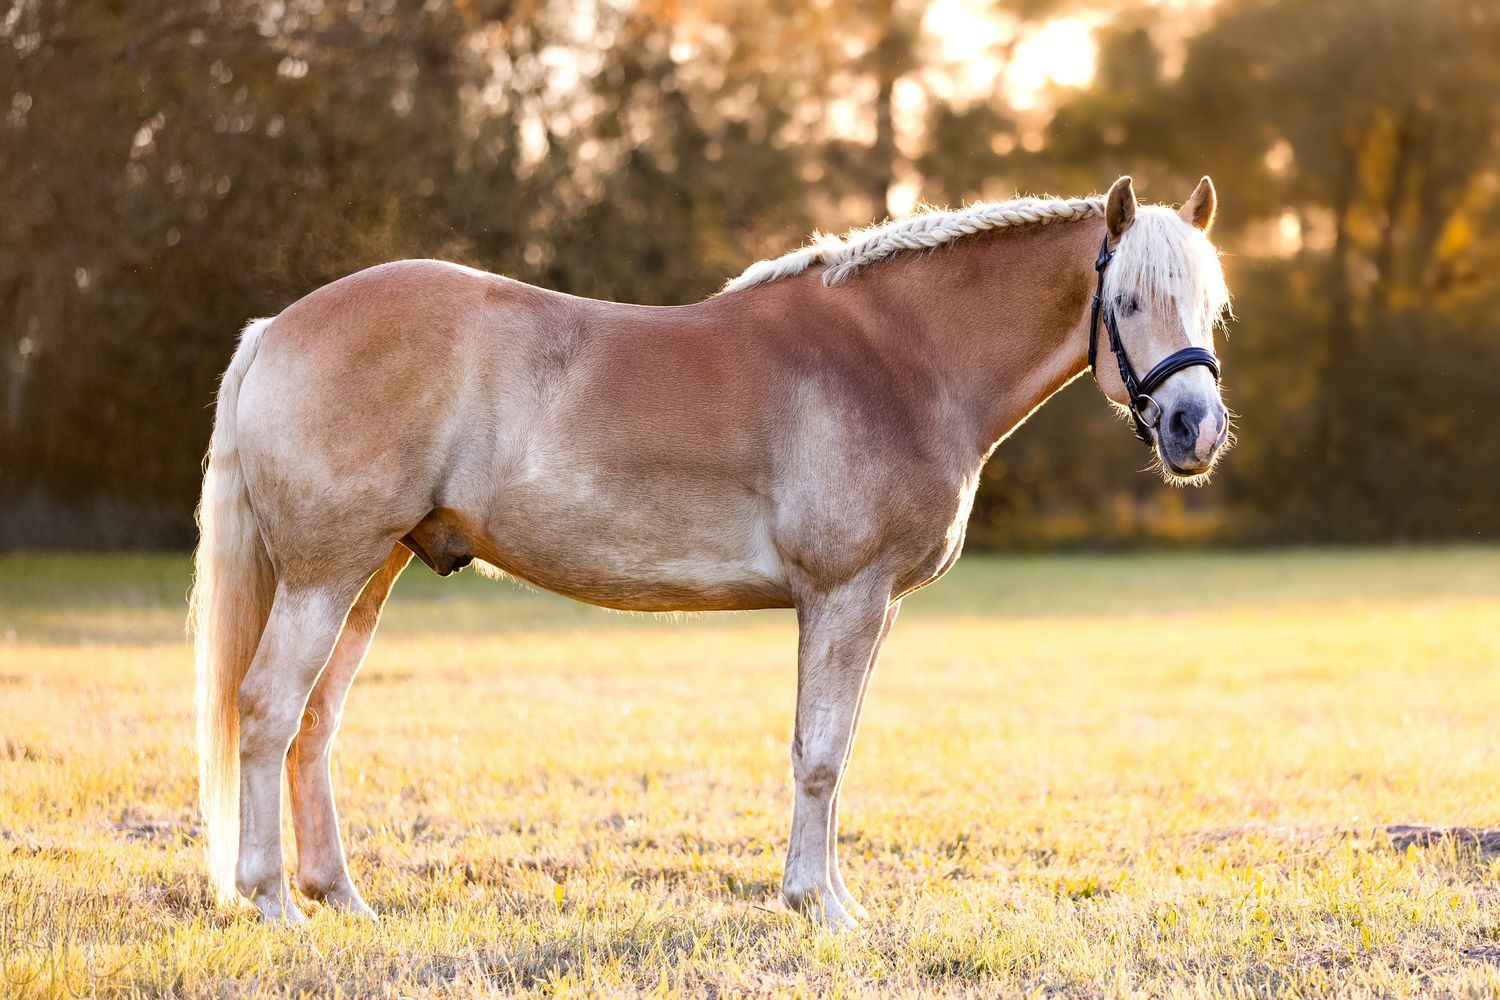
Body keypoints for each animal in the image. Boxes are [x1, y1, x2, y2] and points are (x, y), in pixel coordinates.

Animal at [190, 175, 1232, 928]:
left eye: (1211, 307)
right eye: (1126, 300)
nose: (1196, 429)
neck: (899, 362)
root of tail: (275, 329)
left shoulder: (874, 606)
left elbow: (836, 750)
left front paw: (828, 898)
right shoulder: (844, 595)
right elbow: (820, 755)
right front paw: (820, 908)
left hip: (369, 574)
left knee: (315, 724)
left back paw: (341, 898)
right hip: (326, 576)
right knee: (269, 711)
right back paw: (274, 903)